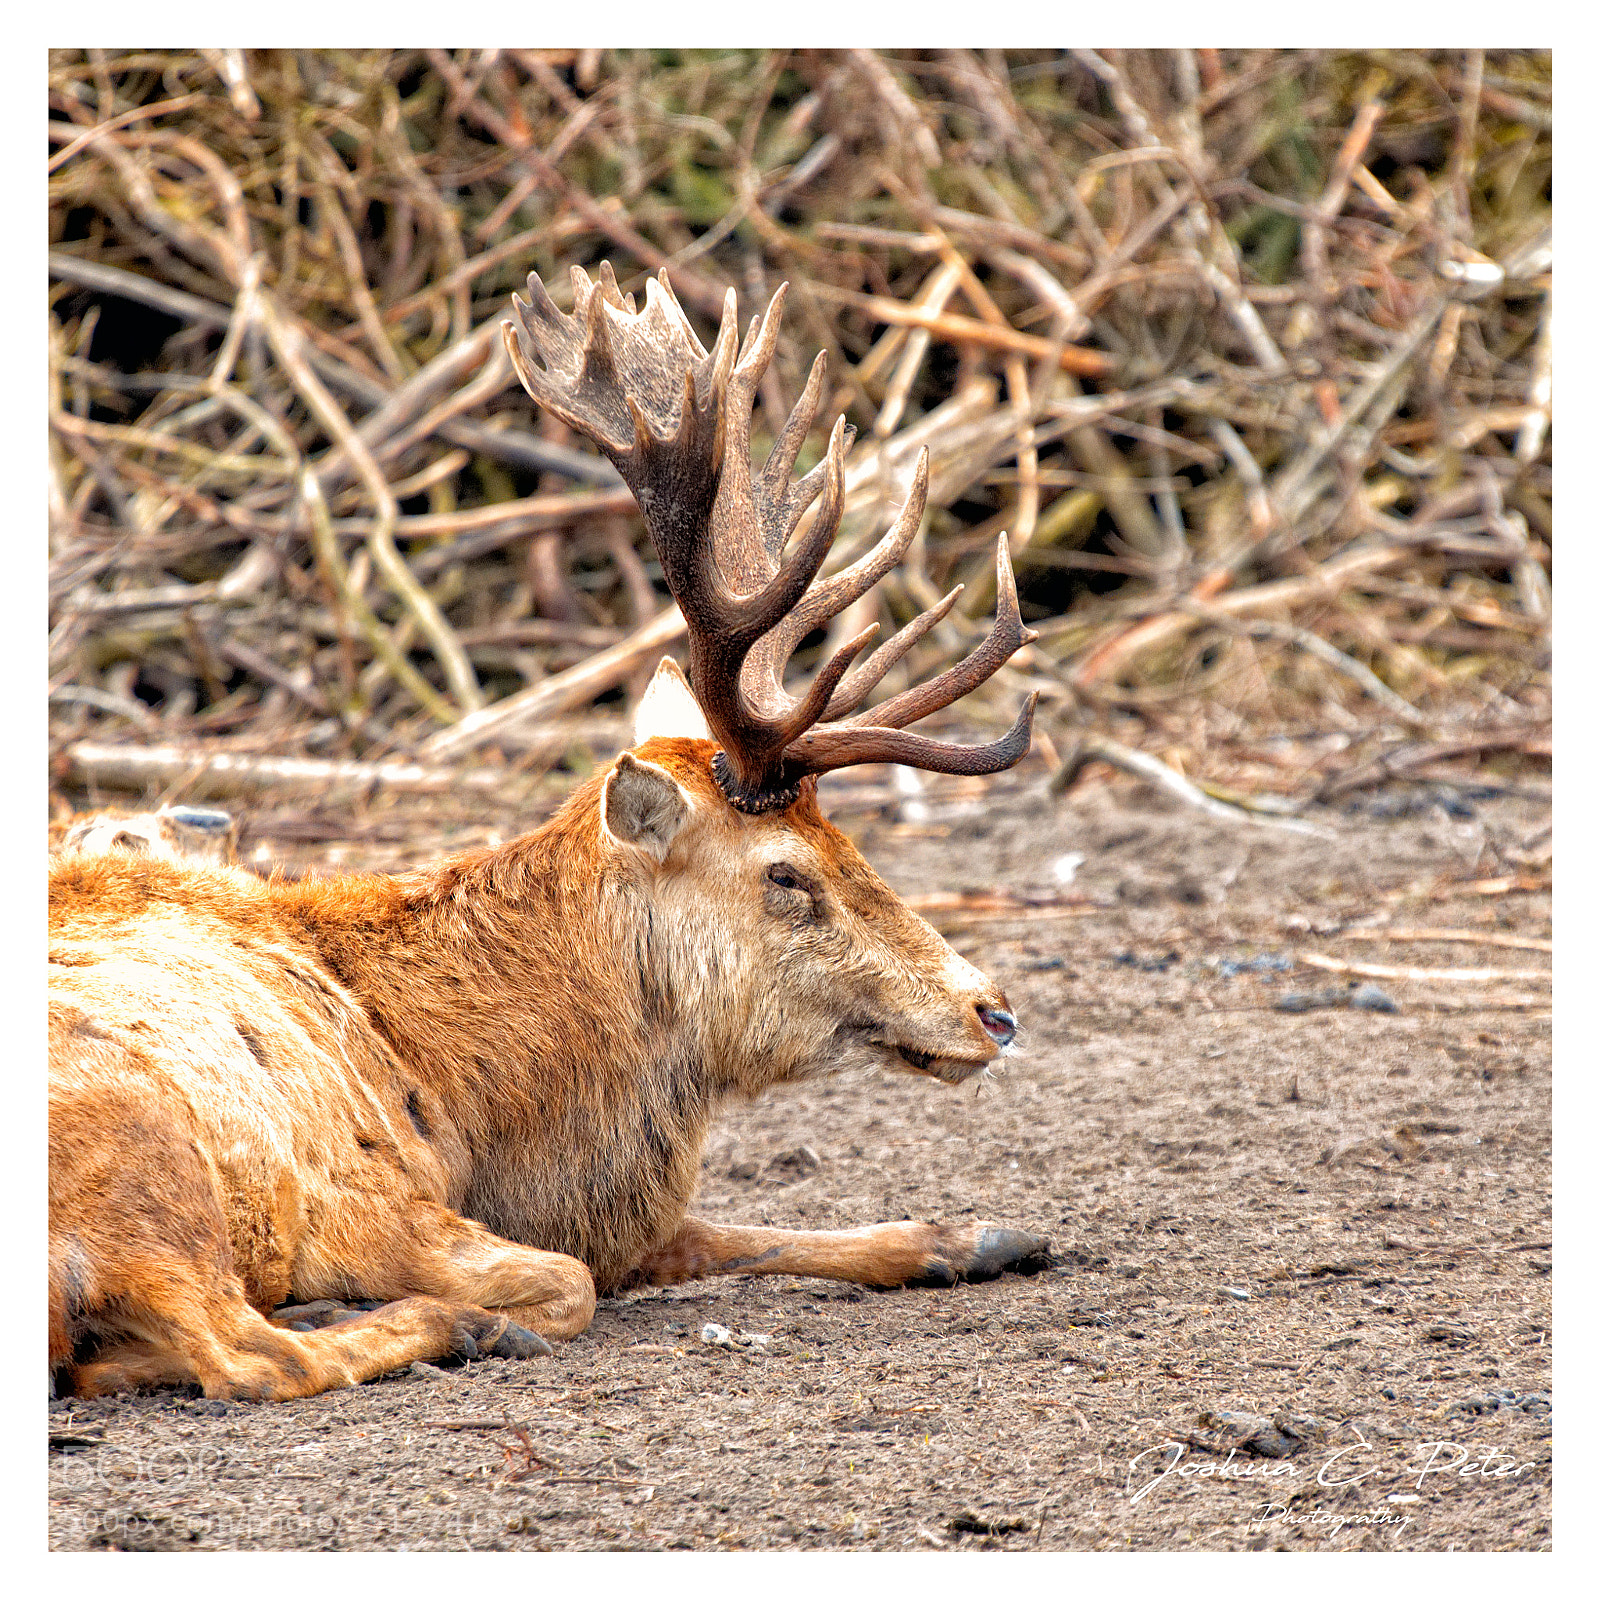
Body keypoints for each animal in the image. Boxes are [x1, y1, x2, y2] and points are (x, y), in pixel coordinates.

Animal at [48, 263, 1051, 1402]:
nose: (992, 1010)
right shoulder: (365, 1192)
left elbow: (720, 1234)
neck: (475, 1101)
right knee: (251, 1355)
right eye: (788, 874)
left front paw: (980, 1235)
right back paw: (441, 1324)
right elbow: (571, 1277)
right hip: (145, 1145)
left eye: (847, 840)